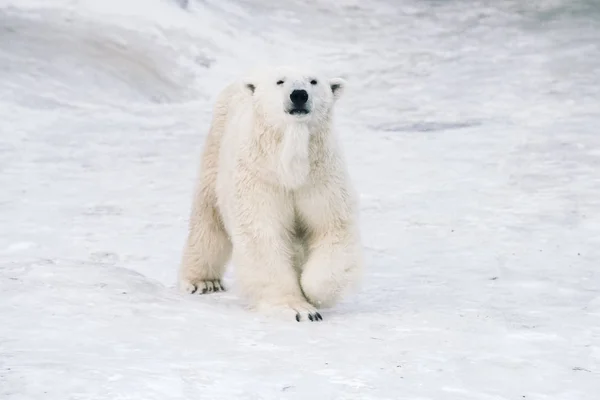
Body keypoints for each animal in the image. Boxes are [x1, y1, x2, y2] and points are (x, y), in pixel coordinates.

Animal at [178, 65, 364, 322]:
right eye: (280, 81)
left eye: (313, 81)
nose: (299, 95)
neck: (290, 169)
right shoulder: (261, 178)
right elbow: (263, 235)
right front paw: (298, 309)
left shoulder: (319, 178)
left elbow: (330, 226)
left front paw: (311, 292)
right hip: (215, 152)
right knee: (208, 218)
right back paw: (203, 281)